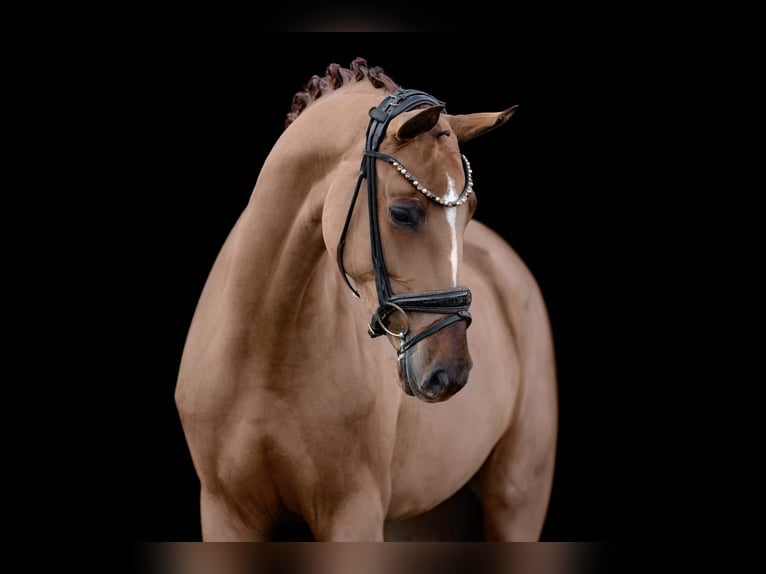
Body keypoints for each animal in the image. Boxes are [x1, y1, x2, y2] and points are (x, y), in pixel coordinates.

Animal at [174, 57, 558, 541]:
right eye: (402, 213)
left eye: (471, 210)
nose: (450, 373)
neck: (264, 353)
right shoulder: (225, 514)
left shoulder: (353, 513)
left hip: (517, 501)